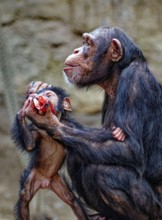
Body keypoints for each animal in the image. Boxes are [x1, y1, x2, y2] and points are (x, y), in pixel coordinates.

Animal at [23, 26, 162, 219]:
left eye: (88, 44)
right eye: (83, 42)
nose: (76, 50)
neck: (116, 75)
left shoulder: (135, 80)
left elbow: (129, 147)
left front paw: (49, 122)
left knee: (101, 172)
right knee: (77, 157)